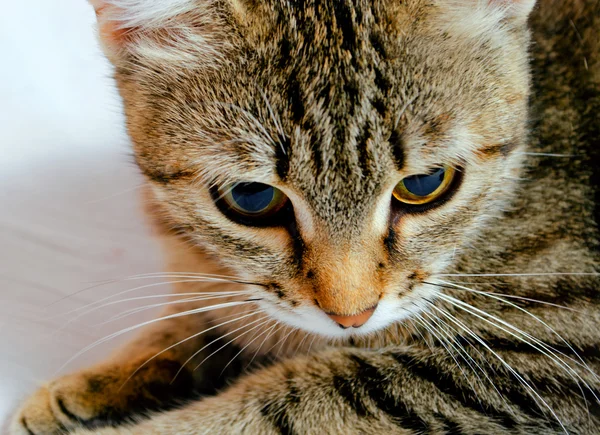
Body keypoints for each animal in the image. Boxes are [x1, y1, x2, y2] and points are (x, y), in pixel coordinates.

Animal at [10, 0, 600, 434]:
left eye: (424, 185)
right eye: (251, 197)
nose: (352, 316)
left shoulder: (545, 362)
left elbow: (288, 402)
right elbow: (194, 326)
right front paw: (93, 388)